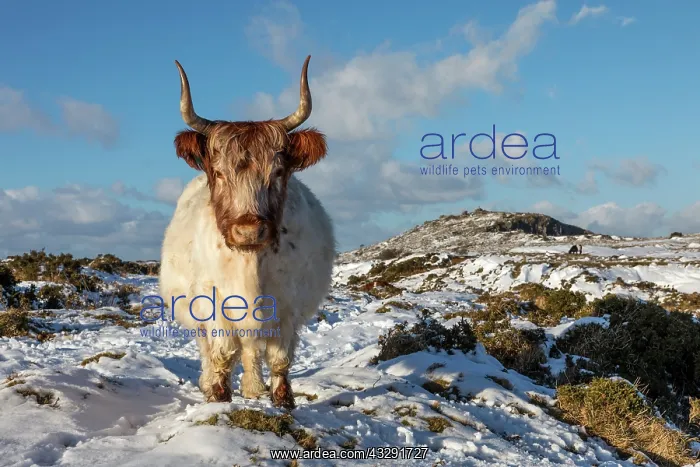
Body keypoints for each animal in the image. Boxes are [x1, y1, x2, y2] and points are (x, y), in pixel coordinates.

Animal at [159, 56, 336, 409]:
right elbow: (223, 352)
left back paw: (254, 388)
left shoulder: (288, 304)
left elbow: (279, 357)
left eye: (279, 171)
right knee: (212, 349)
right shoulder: (213, 302)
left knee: (253, 348)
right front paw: (218, 396)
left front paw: (282, 401)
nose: (248, 231)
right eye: (218, 172)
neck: (250, 263)